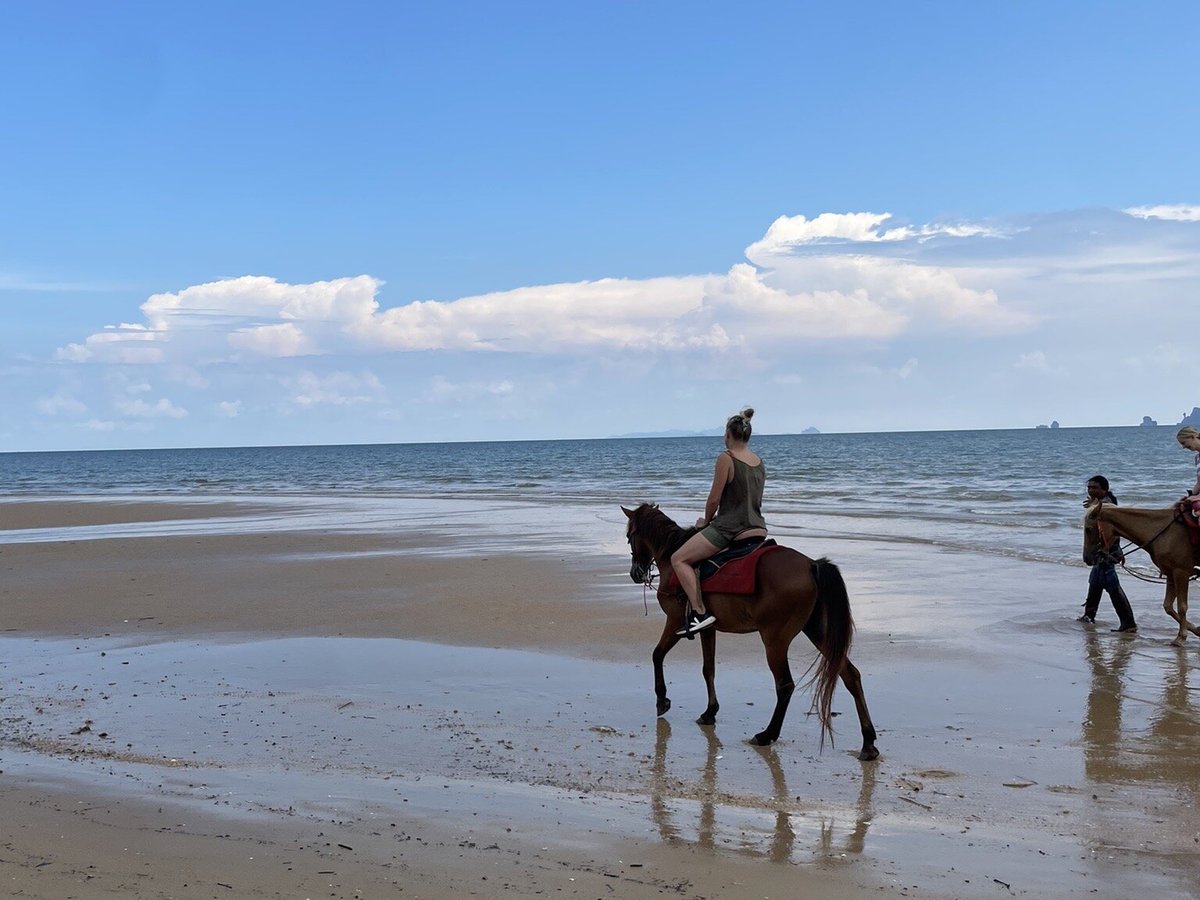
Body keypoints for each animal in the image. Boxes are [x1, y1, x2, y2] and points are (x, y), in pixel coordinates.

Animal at [624, 504, 878, 758]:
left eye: (629, 537)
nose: (635, 573)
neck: (672, 556)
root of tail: (811, 564)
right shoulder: (708, 628)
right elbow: (708, 670)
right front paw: (709, 712)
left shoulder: (675, 620)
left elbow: (657, 655)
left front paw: (662, 700)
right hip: (818, 633)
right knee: (851, 675)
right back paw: (868, 742)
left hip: (775, 640)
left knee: (785, 685)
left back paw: (767, 734)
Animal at [1089, 501, 1200, 648]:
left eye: (1089, 529)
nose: (1087, 558)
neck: (1162, 531)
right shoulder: (1171, 573)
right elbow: (1168, 606)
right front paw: (1196, 629)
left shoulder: (1181, 572)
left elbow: (1182, 606)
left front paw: (1181, 637)